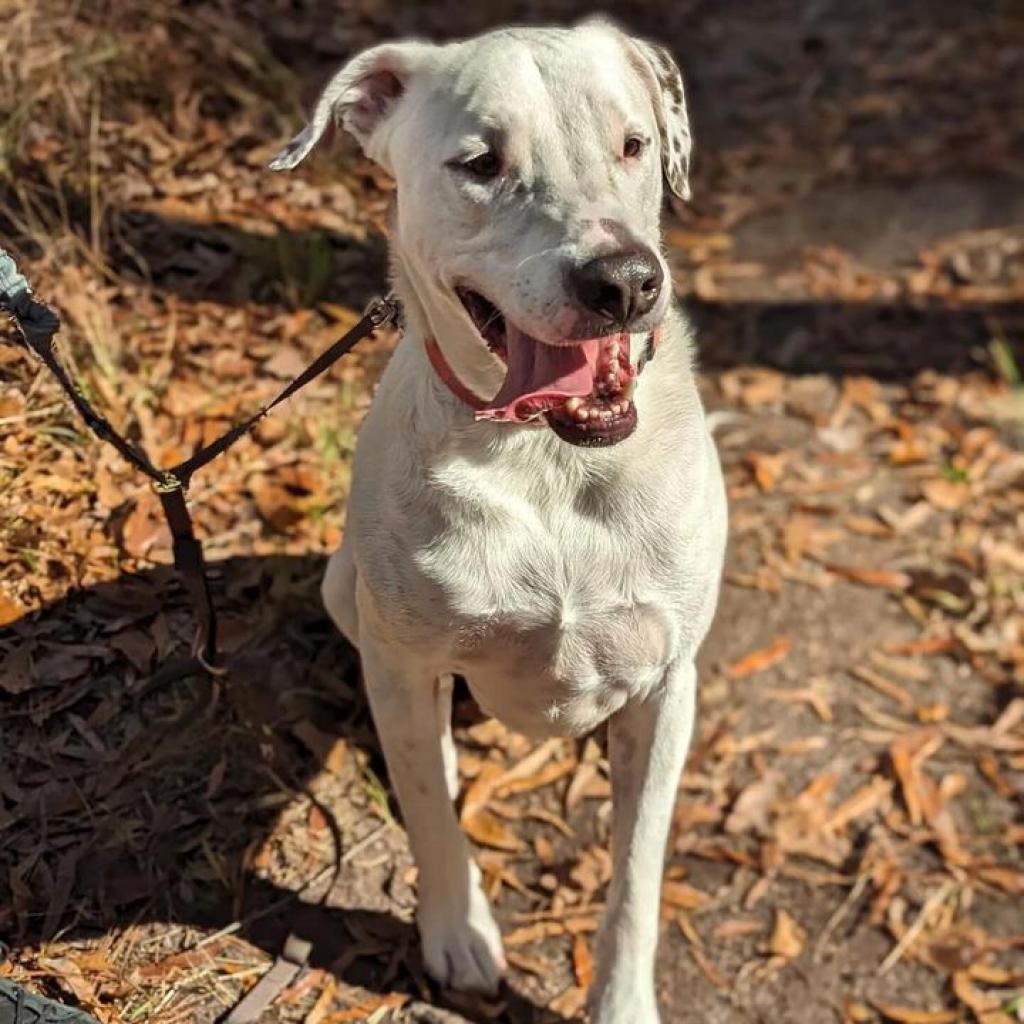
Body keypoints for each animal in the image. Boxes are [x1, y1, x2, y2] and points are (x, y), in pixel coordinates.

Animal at [272, 19, 729, 1019]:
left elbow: (637, 871)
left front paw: (621, 998)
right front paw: (459, 936)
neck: (550, 459)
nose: (624, 281)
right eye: (481, 164)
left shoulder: (668, 686)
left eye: (635, 143)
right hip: (343, 588)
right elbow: (430, 815)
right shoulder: (404, 658)